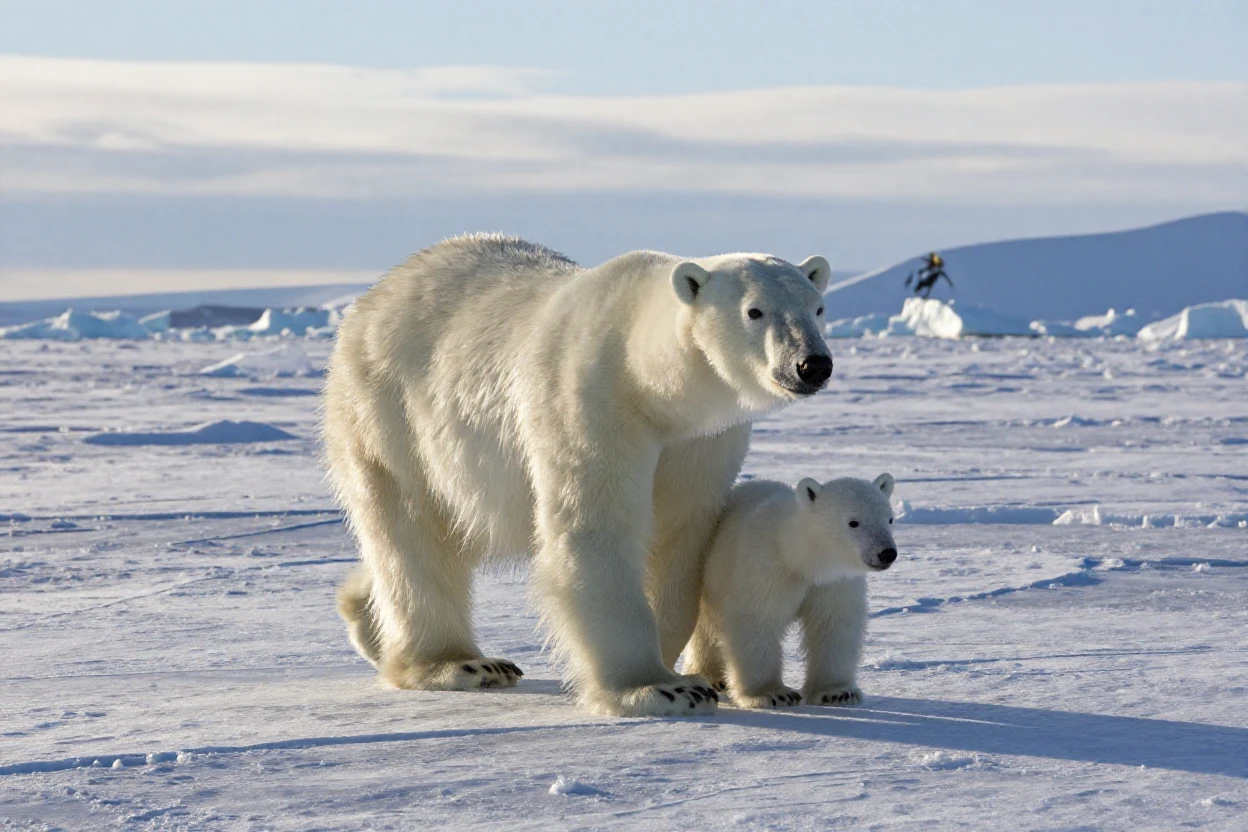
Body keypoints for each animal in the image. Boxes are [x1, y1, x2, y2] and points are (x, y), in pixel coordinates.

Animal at [321, 234, 833, 717]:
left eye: (817, 307)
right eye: (755, 311)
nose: (812, 365)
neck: (648, 383)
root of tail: (375, 296)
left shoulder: (702, 440)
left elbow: (678, 537)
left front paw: (677, 665)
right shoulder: (592, 400)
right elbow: (597, 529)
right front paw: (659, 688)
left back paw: (365, 619)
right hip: (391, 417)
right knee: (413, 534)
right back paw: (463, 663)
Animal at [684, 473, 897, 709]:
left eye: (889, 519)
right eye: (853, 522)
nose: (887, 553)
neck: (795, 556)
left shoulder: (833, 582)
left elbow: (834, 624)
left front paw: (837, 692)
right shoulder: (765, 569)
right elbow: (757, 620)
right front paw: (773, 694)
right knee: (706, 627)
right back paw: (710, 677)